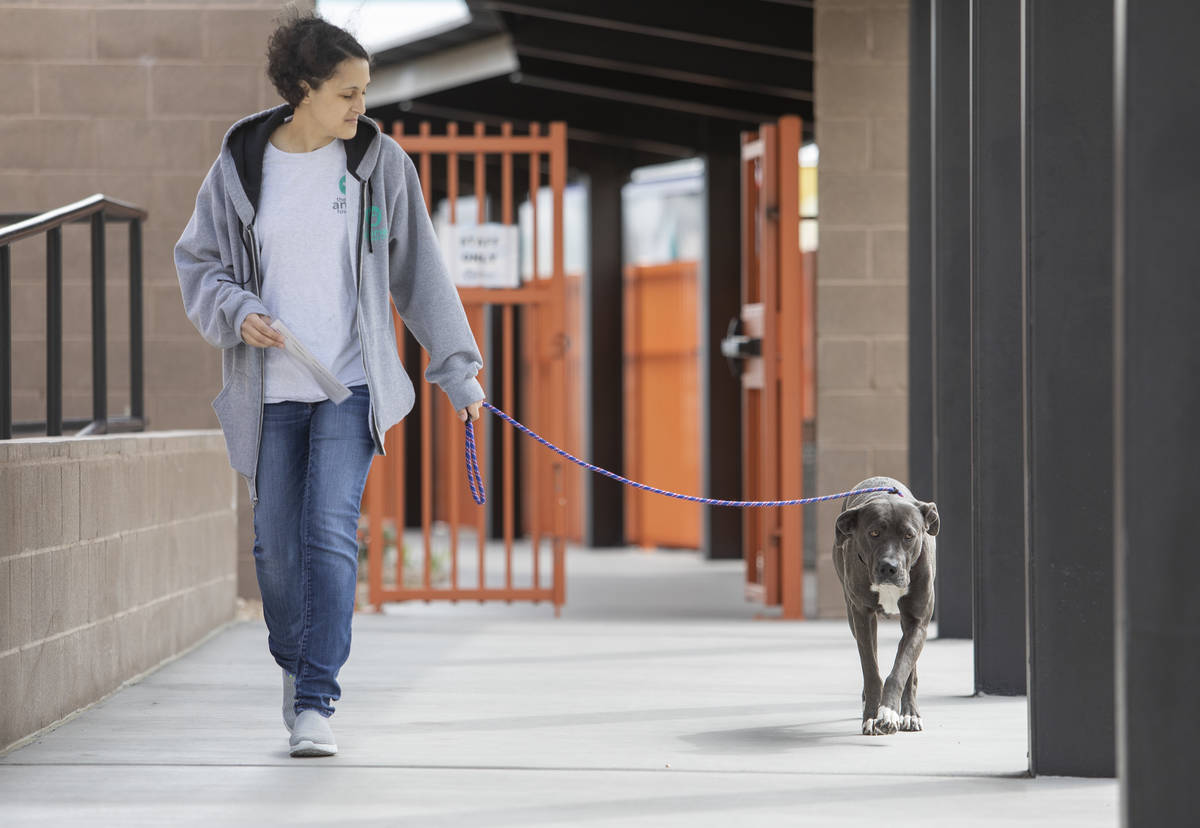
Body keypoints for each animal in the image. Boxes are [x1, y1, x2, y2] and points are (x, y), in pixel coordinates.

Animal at [830, 475, 940, 734]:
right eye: (874, 533)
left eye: (909, 536)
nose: (889, 567)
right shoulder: (861, 616)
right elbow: (871, 670)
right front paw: (872, 715)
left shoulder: (917, 621)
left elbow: (901, 669)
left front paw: (889, 712)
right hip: (854, 617)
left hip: (910, 624)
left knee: (910, 668)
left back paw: (909, 713)